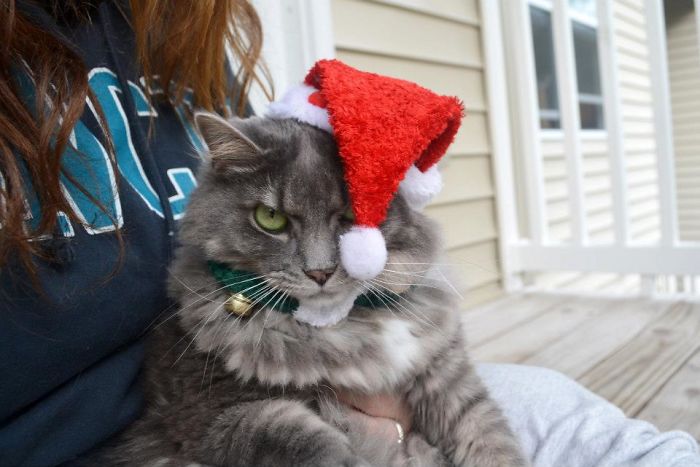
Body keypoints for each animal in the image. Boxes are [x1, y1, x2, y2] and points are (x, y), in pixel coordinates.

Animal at [85, 114, 528, 467]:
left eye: (351, 216)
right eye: (271, 218)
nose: (320, 272)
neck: (339, 327)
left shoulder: (447, 376)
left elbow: (489, 438)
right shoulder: (209, 414)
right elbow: (307, 440)